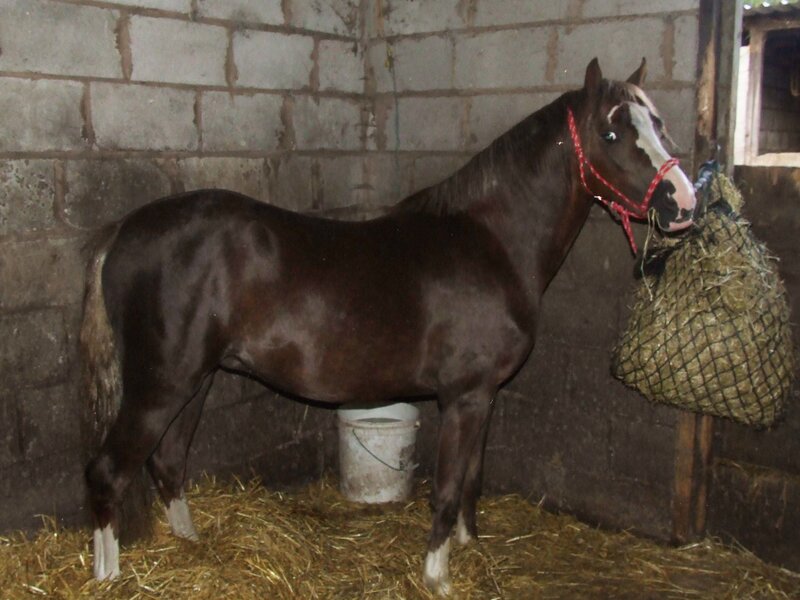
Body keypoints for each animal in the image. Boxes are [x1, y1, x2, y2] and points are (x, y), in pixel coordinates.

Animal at [80, 58, 696, 595]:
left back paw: (193, 548)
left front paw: (470, 550)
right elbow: (445, 489)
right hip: (162, 384)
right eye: (612, 134)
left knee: (167, 462)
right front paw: (438, 577)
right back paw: (108, 577)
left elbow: (472, 481)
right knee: (109, 470)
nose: (683, 203)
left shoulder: (486, 395)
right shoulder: (463, 397)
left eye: (658, 123)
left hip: (197, 380)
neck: (491, 242)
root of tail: (122, 232)